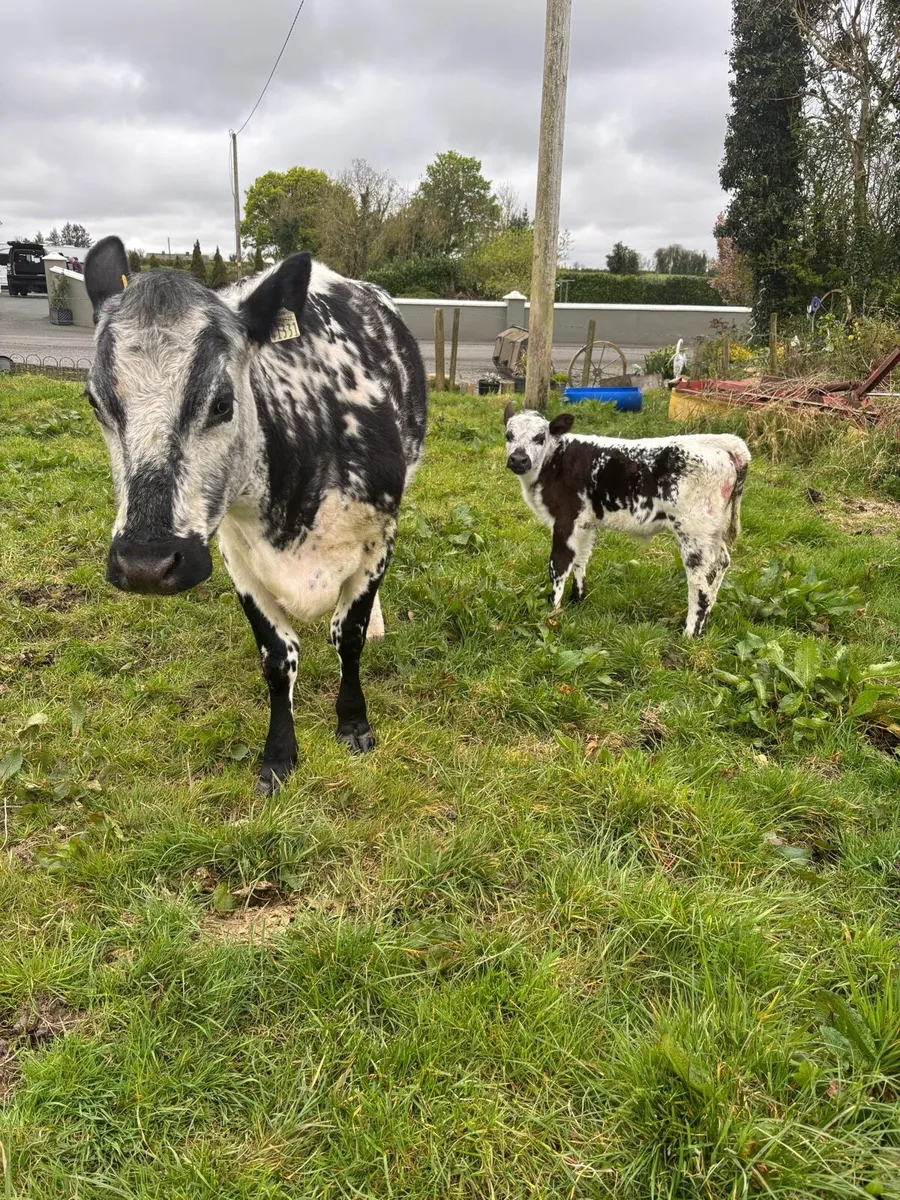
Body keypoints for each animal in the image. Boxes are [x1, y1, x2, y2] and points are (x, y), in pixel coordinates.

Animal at [83, 236, 427, 793]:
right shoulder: (236, 555)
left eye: (223, 403)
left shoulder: (379, 537)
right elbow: (277, 657)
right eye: (95, 402)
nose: (145, 564)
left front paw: (352, 721)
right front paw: (280, 753)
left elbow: (348, 635)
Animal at [503, 404, 750, 636]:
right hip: (713, 531)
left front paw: (552, 612)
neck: (553, 460)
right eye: (508, 435)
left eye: (539, 437)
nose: (518, 459)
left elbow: (559, 563)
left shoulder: (566, 518)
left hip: (693, 531)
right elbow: (581, 559)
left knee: (699, 581)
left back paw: (690, 633)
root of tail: (725, 445)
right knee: (721, 563)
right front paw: (578, 598)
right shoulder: (585, 522)